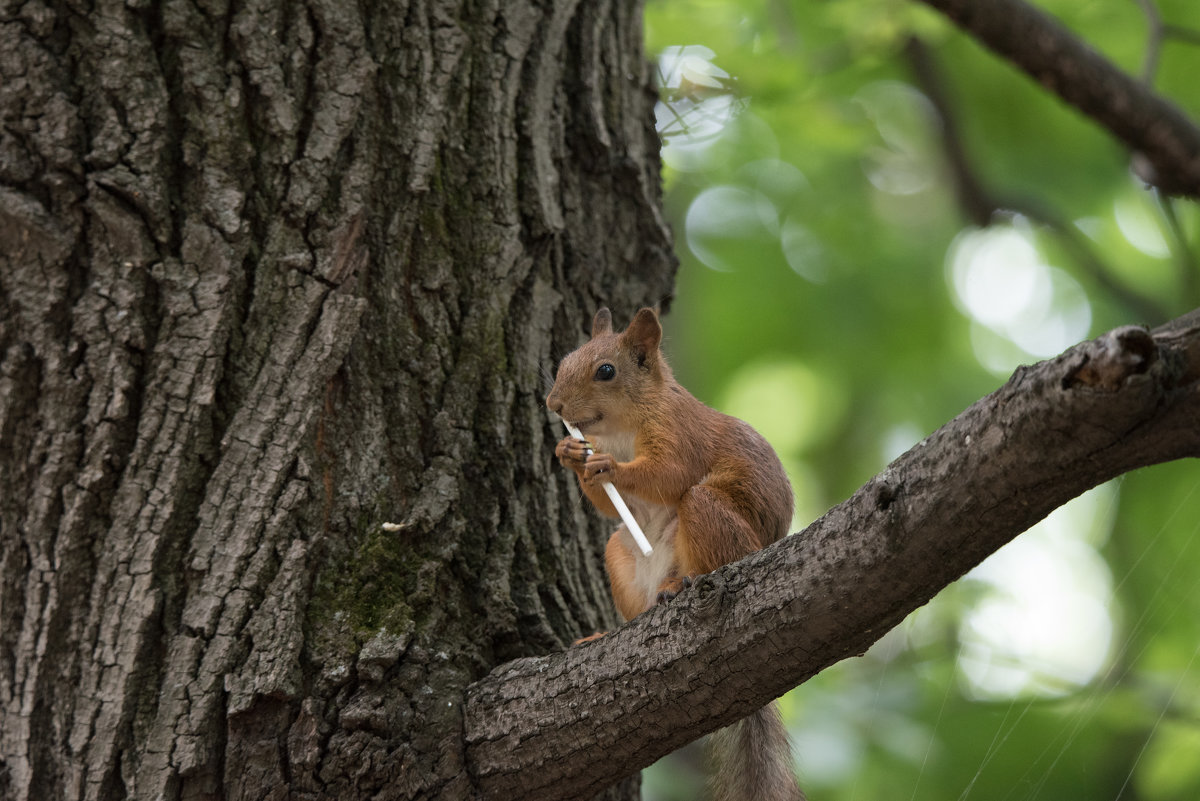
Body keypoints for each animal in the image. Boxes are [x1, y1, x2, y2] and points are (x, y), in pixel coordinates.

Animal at [549, 304, 801, 801]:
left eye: (606, 371)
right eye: (564, 360)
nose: (554, 405)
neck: (621, 426)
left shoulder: (679, 433)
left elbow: (667, 474)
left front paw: (609, 466)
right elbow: (611, 504)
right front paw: (568, 451)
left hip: (714, 520)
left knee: (703, 534)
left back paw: (680, 584)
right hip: (619, 553)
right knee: (637, 603)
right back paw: (609, 632)